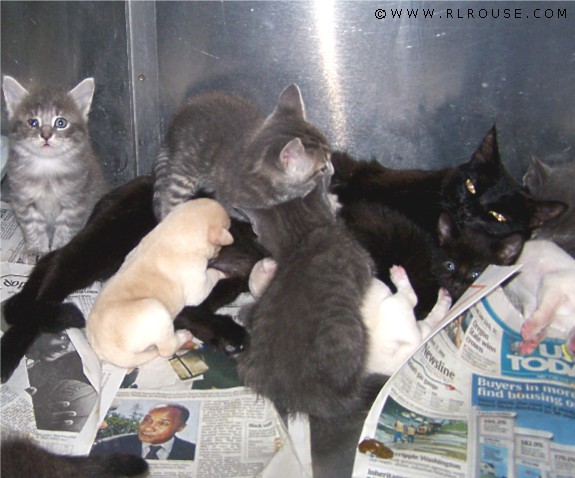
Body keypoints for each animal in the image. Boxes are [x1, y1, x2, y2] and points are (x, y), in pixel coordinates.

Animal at [3, 75, 108, 264]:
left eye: (61, 122)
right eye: (33, 122)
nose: (46, 135)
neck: (47, 168)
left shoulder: (75, 203)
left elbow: (65, 229)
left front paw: (59, 250)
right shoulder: (24, 200)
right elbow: (33, 228)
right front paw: (36, 249)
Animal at [87, 197, 234, 366]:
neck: (173, 232)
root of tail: (104, 349)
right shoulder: (198, 285)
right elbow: (212, 275)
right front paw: (222, 272)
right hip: (157, 312)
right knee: (167, 349)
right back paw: (183, 336)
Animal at [153, 83, 332, 220]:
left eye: (330, 156)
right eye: (322, 168)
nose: (332, 170)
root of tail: (174, 124)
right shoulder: (235, 205)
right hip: (184, 169)